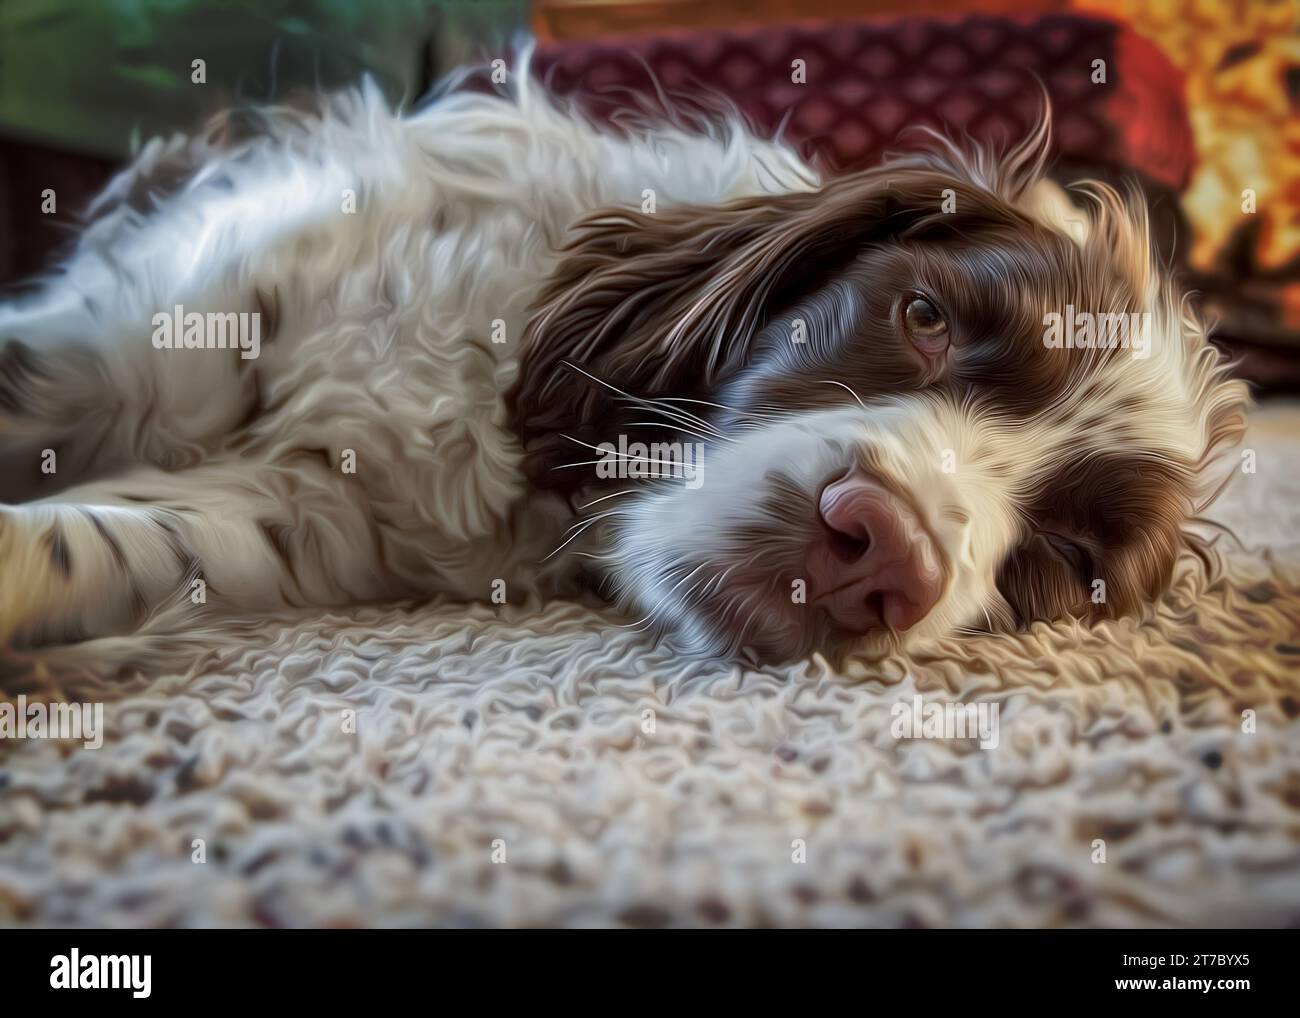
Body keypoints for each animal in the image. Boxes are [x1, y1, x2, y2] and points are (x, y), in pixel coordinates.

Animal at [0, 67, 1242, 665]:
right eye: (926, 314)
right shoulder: (121, 342)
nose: (883, 553)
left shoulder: (306, 509)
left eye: (1068, 558)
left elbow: (102, 540)